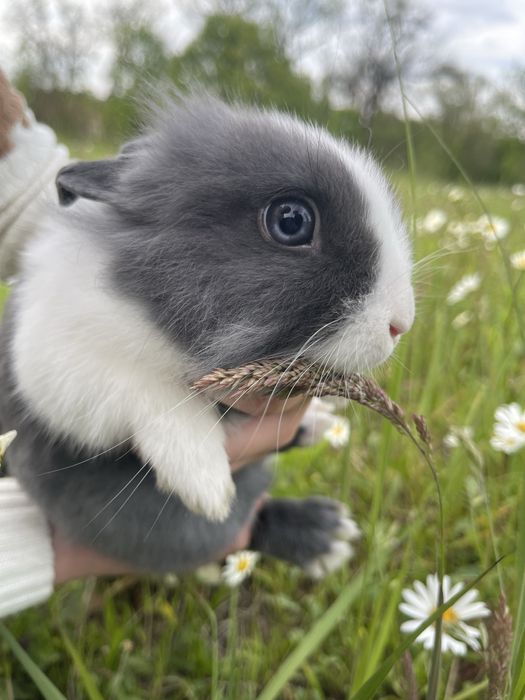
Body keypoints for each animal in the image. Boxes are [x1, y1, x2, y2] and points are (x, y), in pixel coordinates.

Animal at [0, 94, 414, 574]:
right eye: (291, 221)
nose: (400, 324)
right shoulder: (54, 356)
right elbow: (144, 389)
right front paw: (206, 482)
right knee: (243, 528)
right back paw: (322, 535)